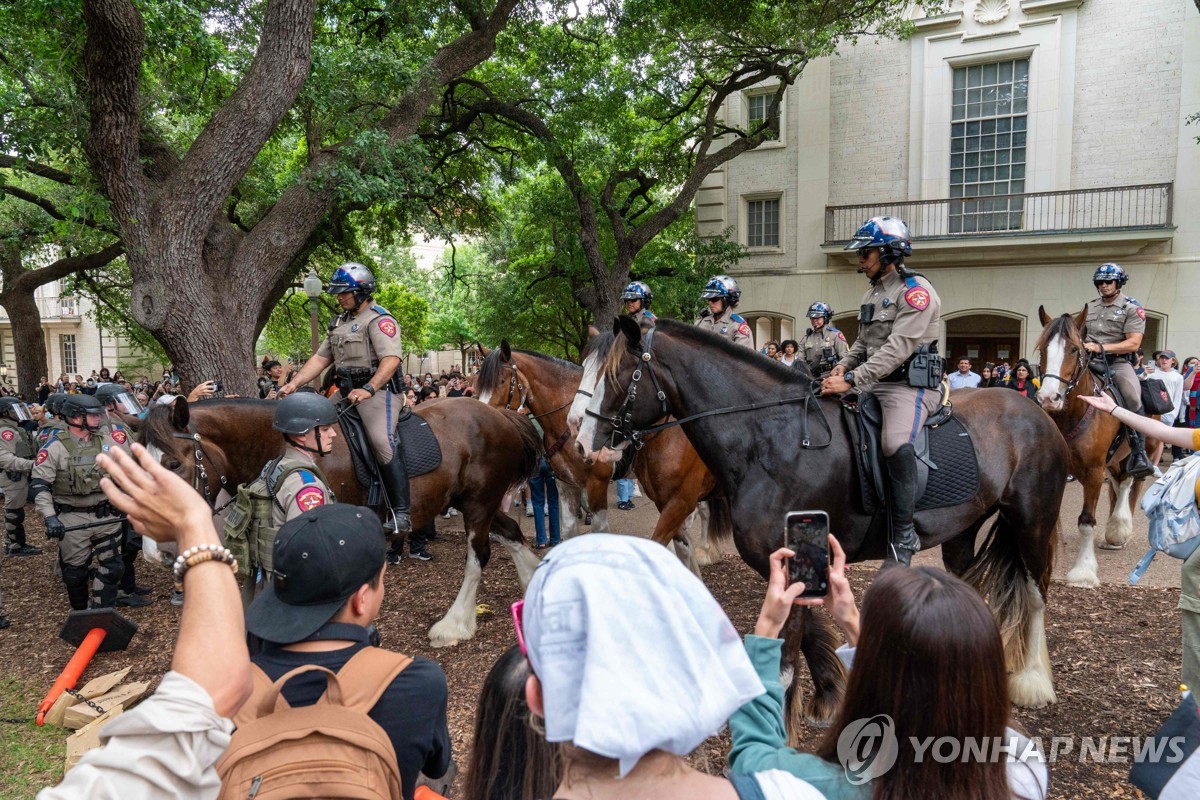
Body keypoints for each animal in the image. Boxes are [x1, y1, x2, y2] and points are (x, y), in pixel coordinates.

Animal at [137, 398, 544, 647]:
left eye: (173, 464)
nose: (155, 550)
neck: (286, 444)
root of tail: (501, 414)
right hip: (474, 502)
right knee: (511, 533)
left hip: (478, 503)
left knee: (478, 556)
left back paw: (454, 624)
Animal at [1036, 303, 1156, 585]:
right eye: (1043, 349)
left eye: (1074, 349)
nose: (1048, 398)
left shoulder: (1092, 473)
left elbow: (1086, 521)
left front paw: (1083, 571)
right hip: (1112, 461)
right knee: (1117, 483)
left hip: (1132, 455)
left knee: (1126, 483)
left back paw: (1118, 530)